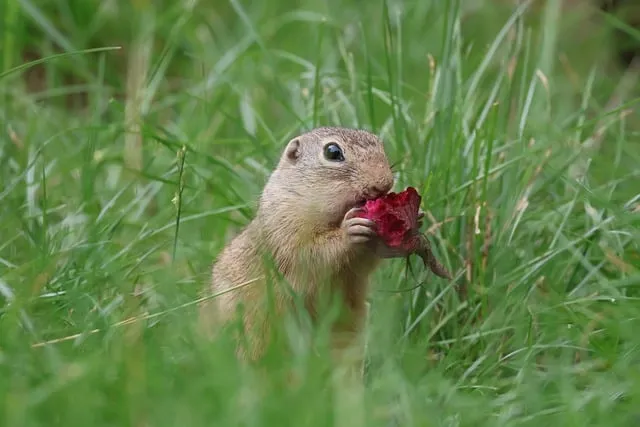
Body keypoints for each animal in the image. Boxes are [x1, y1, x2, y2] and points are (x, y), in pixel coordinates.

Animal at [198, 126, 413, 368]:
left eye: (379, 143)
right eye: (332, 152)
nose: (384, 183)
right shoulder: (285, 226)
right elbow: (309, 254)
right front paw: (350, 230)